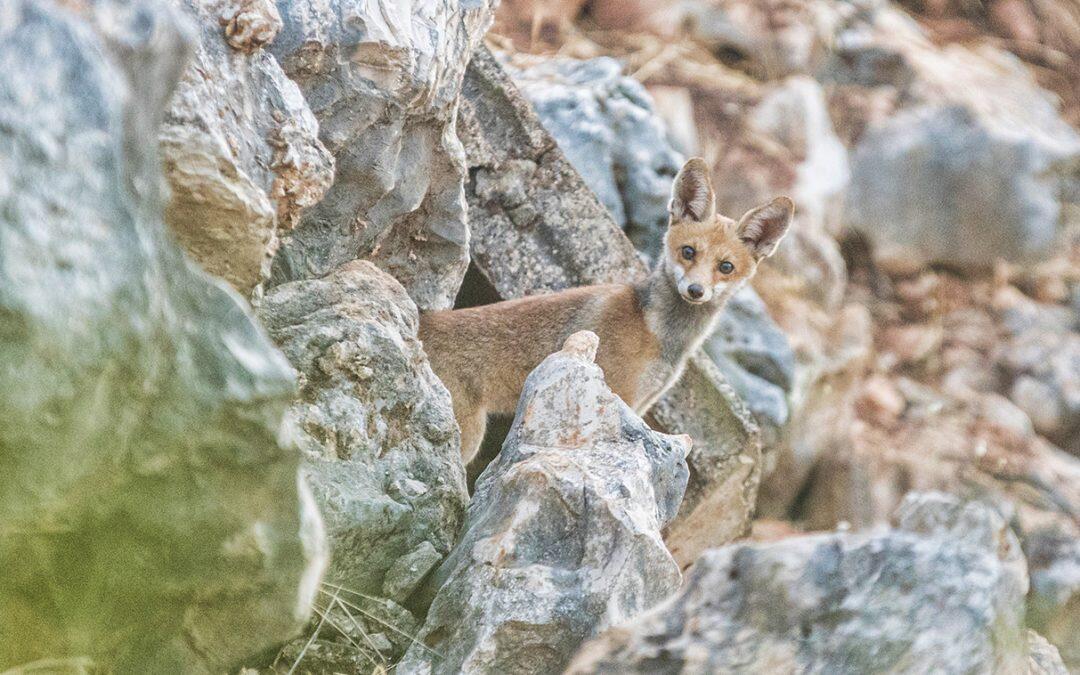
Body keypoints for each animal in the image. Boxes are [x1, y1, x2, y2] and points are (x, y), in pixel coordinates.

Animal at [421, 158, 794, 462]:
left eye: (726, 267)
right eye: (688, 252)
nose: (695, 290)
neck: (660, 336)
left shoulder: (644, 402)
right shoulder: (621, 395)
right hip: (467, 439)